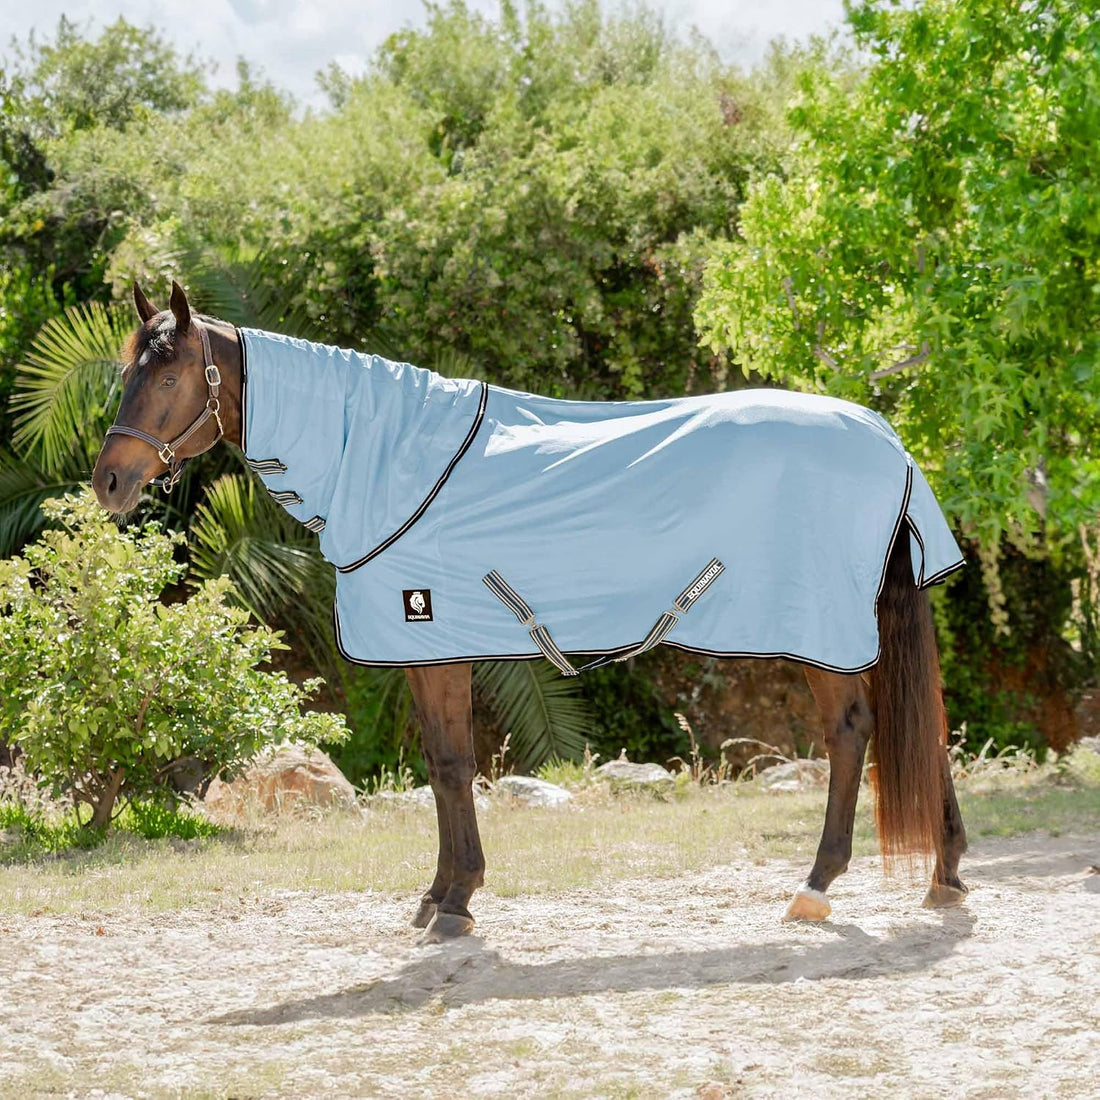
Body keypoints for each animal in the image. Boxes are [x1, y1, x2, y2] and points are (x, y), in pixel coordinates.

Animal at [92, 281, 969, 942]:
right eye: (127, 374)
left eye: (167, 379)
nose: (109, 482)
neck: (386, 460)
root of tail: (887, 442)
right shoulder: (425, 652)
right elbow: (442, 766)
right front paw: (438, 896)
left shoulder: (433, 644)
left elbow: (452, 766)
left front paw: (454, 903)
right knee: (917, 722)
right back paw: (947, 876)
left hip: (822, 631)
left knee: (853, 731)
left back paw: (818, 885)